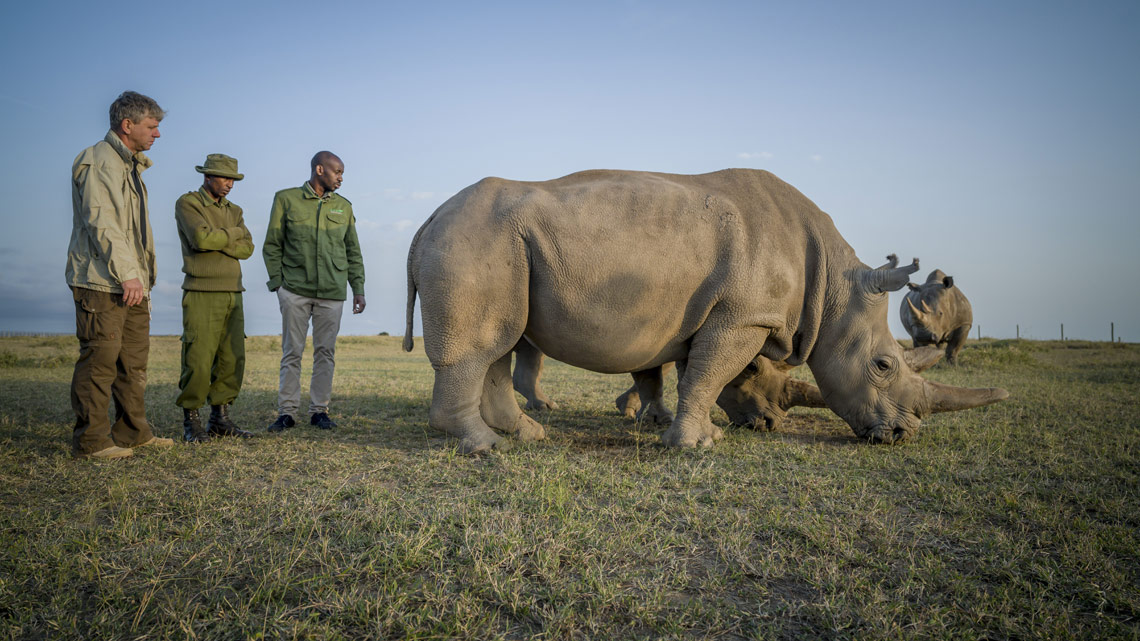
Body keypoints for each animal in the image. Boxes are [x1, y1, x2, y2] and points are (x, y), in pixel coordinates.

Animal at [403, 167, 1007, 451]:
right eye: (883, 365)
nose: (904, 434)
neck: (835, 287)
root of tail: (428, 219)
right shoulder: (744, 315)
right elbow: (706, 375)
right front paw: (699, 445)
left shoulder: (715, 314)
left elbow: (689, 373)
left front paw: (690, 430)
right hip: (475, 240)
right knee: (483, 346)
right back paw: (483, 447)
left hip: (496, 244)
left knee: (500, 342)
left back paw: (527, 435)